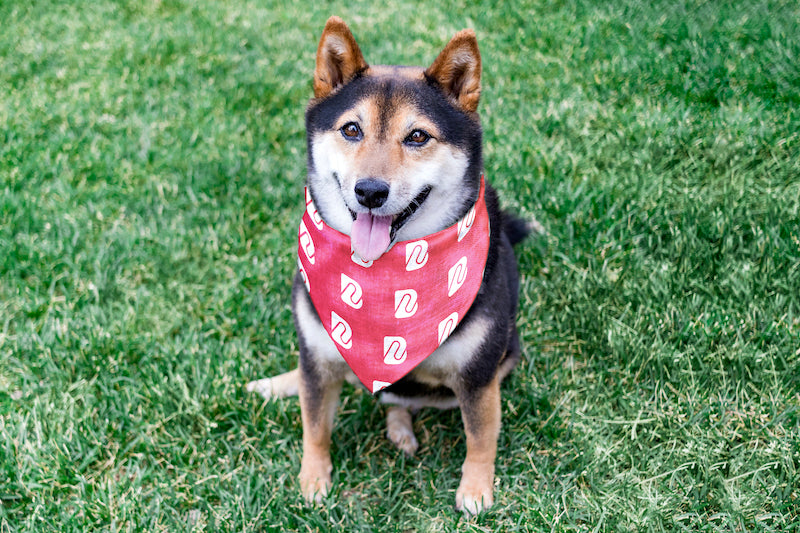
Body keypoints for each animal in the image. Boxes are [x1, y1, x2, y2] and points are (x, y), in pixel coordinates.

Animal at [245, 16, 532, 512]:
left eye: (418, 136)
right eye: (351, 130)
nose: (370, 191)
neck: (386, 275)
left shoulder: (478, 375)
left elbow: (481, 437)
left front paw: (476, 490)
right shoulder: (317, 354)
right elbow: (314, 424)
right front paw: (312, 479)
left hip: (504, 356)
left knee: (401, 399)